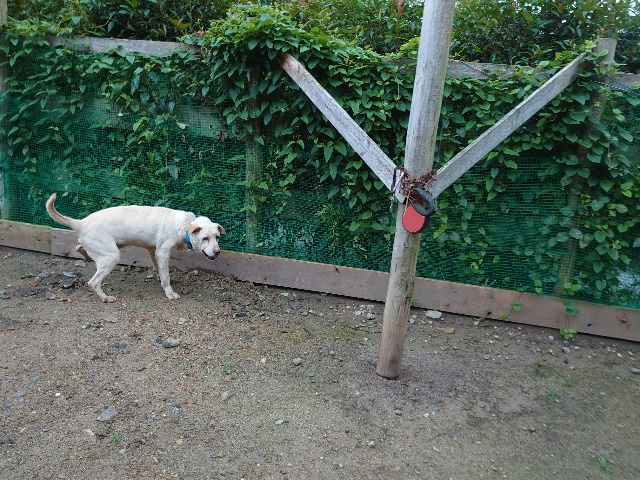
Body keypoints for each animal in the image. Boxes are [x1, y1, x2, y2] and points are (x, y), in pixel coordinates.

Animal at [46, 193, 225, 302]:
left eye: (217, 237)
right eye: (205, 238)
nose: (218, 252)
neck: (183, 225)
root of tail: (81, 223)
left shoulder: (154, 251)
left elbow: (159, 270)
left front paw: (160, 278)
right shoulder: (163, 253)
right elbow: (166, 277)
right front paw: (169, 293)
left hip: (101, 250)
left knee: (79, 247)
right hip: (112, 257)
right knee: (93, 282)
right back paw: (105, 298)